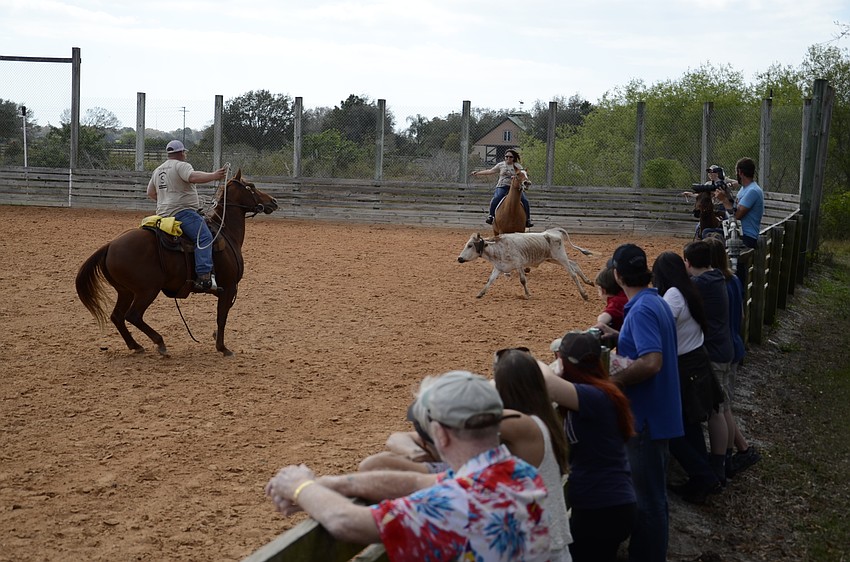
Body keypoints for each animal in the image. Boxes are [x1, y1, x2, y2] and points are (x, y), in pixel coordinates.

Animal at [457, 227, 594, 300]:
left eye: (470, 245)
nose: (459, 258)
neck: (499, 247)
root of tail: (555, 231)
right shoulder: (499, 267)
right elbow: (490, 280)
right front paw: (480, 293)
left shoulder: (519, 265)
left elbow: (522, 280)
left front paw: (527, 294)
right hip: (553, 258)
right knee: (574, 264)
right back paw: (589, 281)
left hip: (561, 257)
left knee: (573, 274)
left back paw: (584, 294)